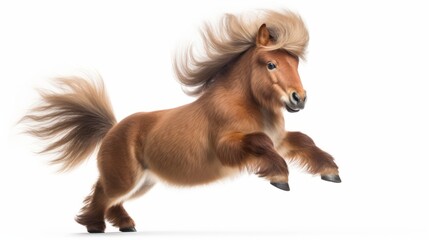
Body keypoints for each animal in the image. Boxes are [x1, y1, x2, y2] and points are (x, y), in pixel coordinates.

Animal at [21, 9, 340, 232]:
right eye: (271, 64)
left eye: (295, 62)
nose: (299, 98)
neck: (250, 105)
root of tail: (112, 129)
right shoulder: (226, 148)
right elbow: (260, 142)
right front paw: (280, 178)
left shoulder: (280, 140)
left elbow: (303, 140)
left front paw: (331, 172)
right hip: (125, 178)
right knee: (102, 193)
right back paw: (95, 226)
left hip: (143, 182)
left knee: (110, 199)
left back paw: (125, 224)